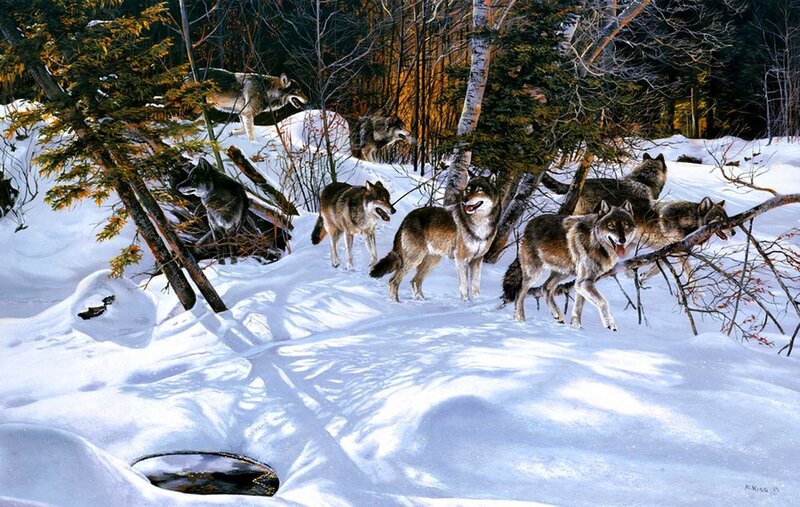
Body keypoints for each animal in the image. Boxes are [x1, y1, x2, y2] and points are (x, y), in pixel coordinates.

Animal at [370, 177, 499, 302]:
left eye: (479, 190)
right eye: (468, 190)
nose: (464, 200)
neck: (479, 225)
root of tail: (406, 218)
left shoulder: (477, 260)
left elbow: (475, 288)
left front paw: (476, 303)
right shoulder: (461, 259)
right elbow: (464, 288)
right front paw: (465, 304)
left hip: (431, 261)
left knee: (415, 281)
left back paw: (422, 302)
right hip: (415, 259)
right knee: (393, 281)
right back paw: (396, 303)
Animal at [503, 200, 636, 331]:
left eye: (625, 225)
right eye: (611, 225)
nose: (622, 240)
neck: (596, 241)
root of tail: (529, 224)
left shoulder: (582, 282)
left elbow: (578, 308)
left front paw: (576, 328)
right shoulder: (583, 282)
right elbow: (603, 302)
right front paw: (610, 324)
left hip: (562, 273)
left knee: (545, 288)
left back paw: (557, 314)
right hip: (534, 274)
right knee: (520, 293)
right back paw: (520, 319)